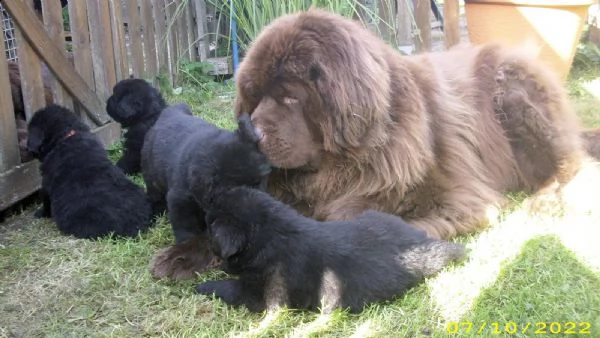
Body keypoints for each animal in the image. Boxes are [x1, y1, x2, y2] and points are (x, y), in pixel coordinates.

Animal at [28, 104, 155, 239]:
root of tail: (139, 225)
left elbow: (45, 199)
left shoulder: (46, 183)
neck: (66, 136)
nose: (27, 147)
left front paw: (40, 213)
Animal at [143, 103, 270, 280]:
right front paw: (187, 248)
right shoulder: (180, 201)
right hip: (151, 176)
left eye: (261, 182)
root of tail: (169, 112)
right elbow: (186, 228)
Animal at [198, 186, 468, 312]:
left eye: (209, 224)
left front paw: (204, 286)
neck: (273, 231)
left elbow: (231, 289)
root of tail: (421, 242)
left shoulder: (264, 295)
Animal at [233, 7, 600, 240]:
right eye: (254, 96)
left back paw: (546, 201)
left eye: (290, 98)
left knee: (571, 167)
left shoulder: (450, 194)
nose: (251, 134)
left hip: (513, 93)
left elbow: (352, 214)